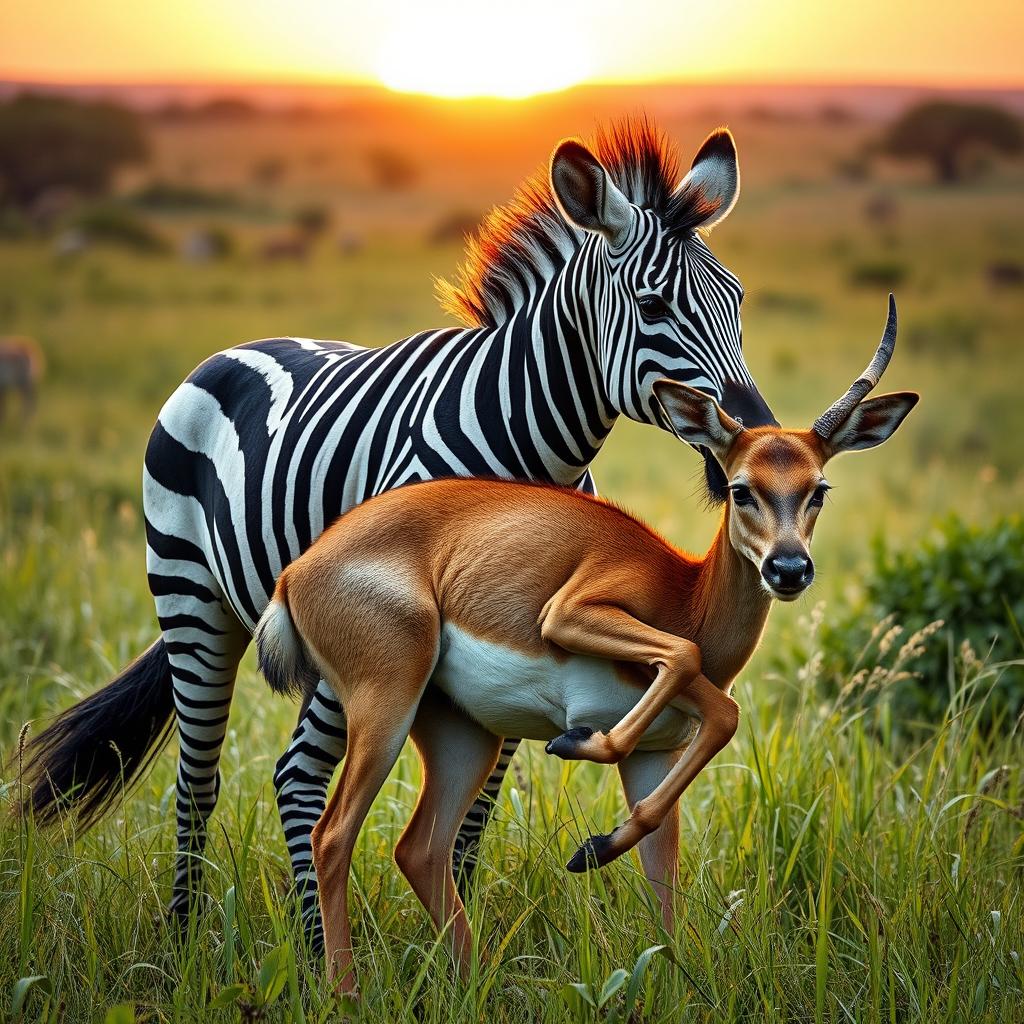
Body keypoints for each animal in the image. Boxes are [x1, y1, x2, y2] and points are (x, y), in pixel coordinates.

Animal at [22, 117, 774, 950]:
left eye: (738, 300)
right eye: (651, 303)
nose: (757, 437)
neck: (532, 444)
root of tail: (235, 349)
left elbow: (478, 807)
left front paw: (463, 926)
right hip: (195, 599)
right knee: (227, 775)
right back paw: (222, 939)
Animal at [251, 294, 917, 983]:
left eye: (819, 489)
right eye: (742, 489)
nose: (788, 569)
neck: (687, 592)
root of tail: (296, 573)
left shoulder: (656, 755)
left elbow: (663, 873)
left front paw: (600, 860)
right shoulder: (572, 614)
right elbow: (695, 672)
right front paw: (578, 745)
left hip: (465, 736)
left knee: (421, 850)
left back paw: (472, 979)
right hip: (385, 707)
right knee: (333, 835)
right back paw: (346, 990)